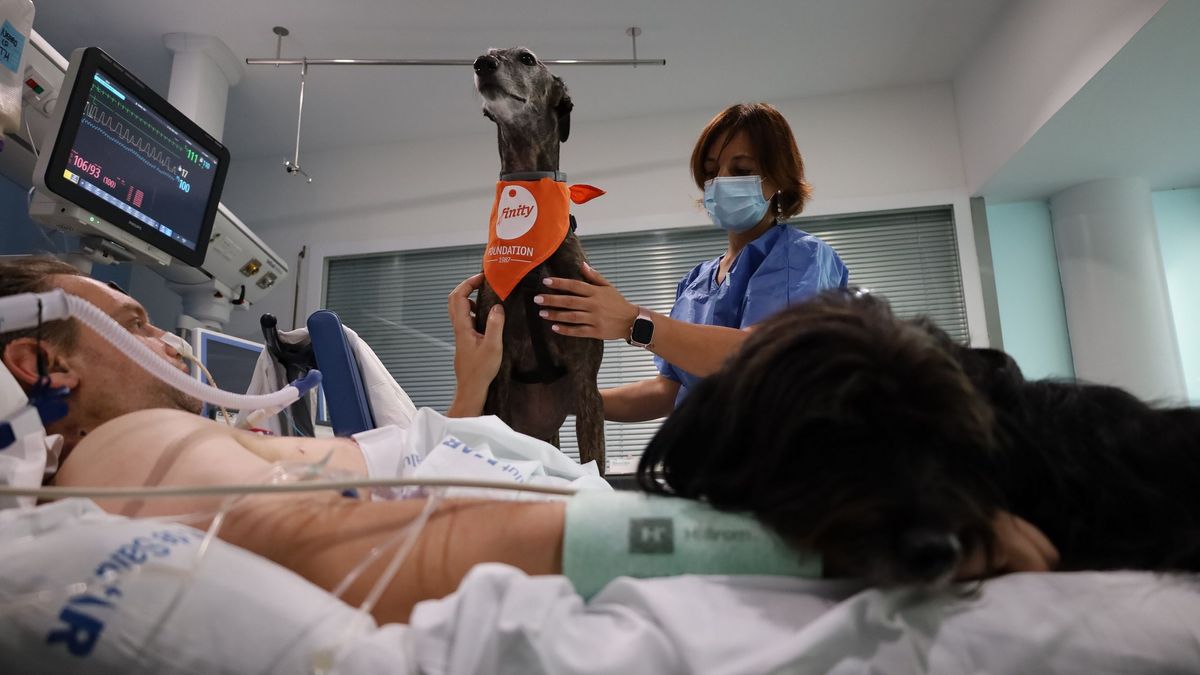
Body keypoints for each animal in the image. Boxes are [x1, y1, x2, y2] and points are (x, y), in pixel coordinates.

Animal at [470, 47, 604, 470]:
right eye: (486, 54)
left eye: (527, 58)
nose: (482, 63)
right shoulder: (499, 372)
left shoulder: (587, 385)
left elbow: (597, 467)